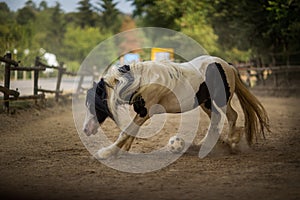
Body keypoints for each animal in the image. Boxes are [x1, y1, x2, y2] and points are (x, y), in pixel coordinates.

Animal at [82, 55, 270, 159]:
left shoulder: (145, 112)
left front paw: (106, 153)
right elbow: (131, 132)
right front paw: (118, 152)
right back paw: (202, 144)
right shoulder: (141, 113)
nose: (85, 130)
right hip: (206, 103)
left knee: (232, 116)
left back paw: (230, 143)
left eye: (93, 106)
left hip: (221, 101)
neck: (139, 82)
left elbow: (126, 132)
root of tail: (226, 65)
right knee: (216, 120)